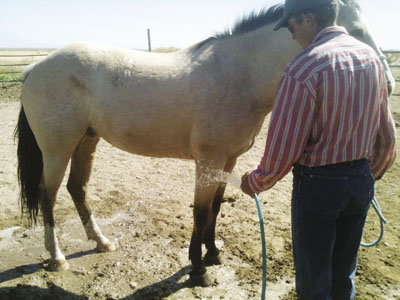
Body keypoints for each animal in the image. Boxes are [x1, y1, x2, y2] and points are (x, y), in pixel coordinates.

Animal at [14, 0, 394, 286]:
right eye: (355, 32)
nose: (387, 84)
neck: (238, 74)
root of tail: (36, 67)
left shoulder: (228, 161)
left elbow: (215, 207)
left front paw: (212, 254)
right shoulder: (208, 161)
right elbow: (199, 210)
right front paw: (198, 269)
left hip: (86, 142)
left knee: (77, 189)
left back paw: (102, 241)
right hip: (57, 150)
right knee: (48, 196)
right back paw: (57, 258)